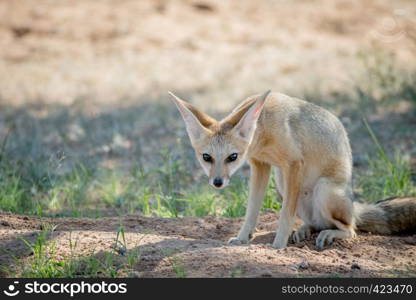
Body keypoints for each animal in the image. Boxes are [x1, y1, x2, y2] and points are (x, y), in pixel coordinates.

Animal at [169, 90, 416, 250]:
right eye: (206, 157)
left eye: (232, 157)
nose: (218, 182)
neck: (263, 127)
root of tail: (353, 204)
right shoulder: (260, 165)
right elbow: (251, 211)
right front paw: (242, 238)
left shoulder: (294, 164)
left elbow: (285, 216)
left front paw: (278, 245)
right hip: (282, 183)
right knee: (317, 223)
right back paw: (305, 229)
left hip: (323, 190)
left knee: (351, 228)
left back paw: (331, 233)